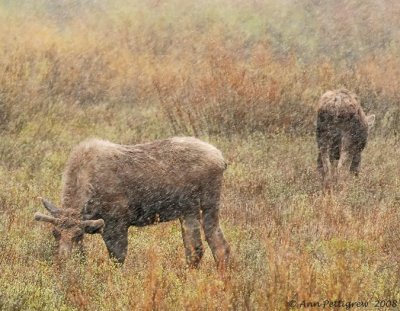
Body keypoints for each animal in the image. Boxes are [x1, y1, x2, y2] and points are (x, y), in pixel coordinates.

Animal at [34, 137, 231, 270]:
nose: (61, 263)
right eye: (55, 233)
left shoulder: (117, 224)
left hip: (205, 204)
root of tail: (222, 159)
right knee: (207, 247)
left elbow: (118, 258)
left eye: (77, 235)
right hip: (189, 210)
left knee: (208, 246)